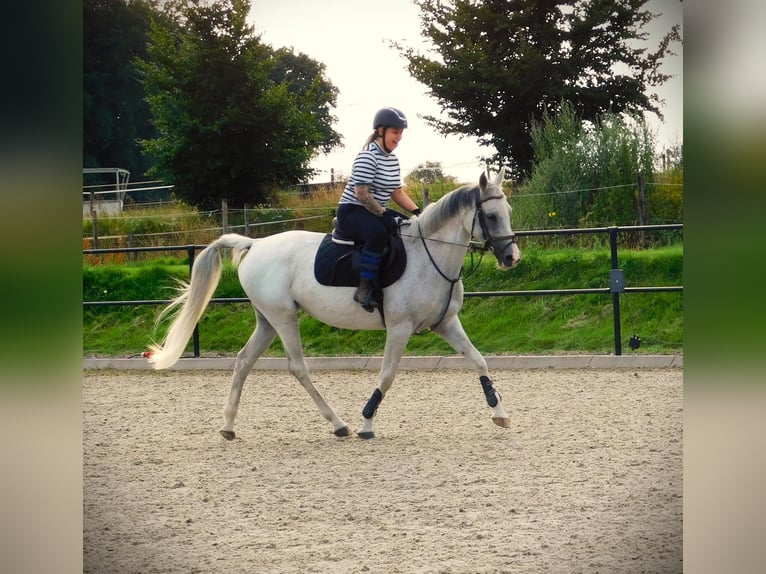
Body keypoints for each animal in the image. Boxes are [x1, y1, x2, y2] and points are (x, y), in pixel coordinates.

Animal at [148, 168, 520, 440]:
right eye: (490, 215)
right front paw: (367, 423)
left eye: (508, 213)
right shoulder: (399, 328)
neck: (428, 255)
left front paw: (499, 412)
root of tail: (254, 244)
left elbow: (479, 359)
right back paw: (339, 423)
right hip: (284, 318)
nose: (512, 258)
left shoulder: (446, 323)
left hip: (267, 321)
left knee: (242, 362)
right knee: (298, 368)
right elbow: (387, 375)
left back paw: (228, 426)